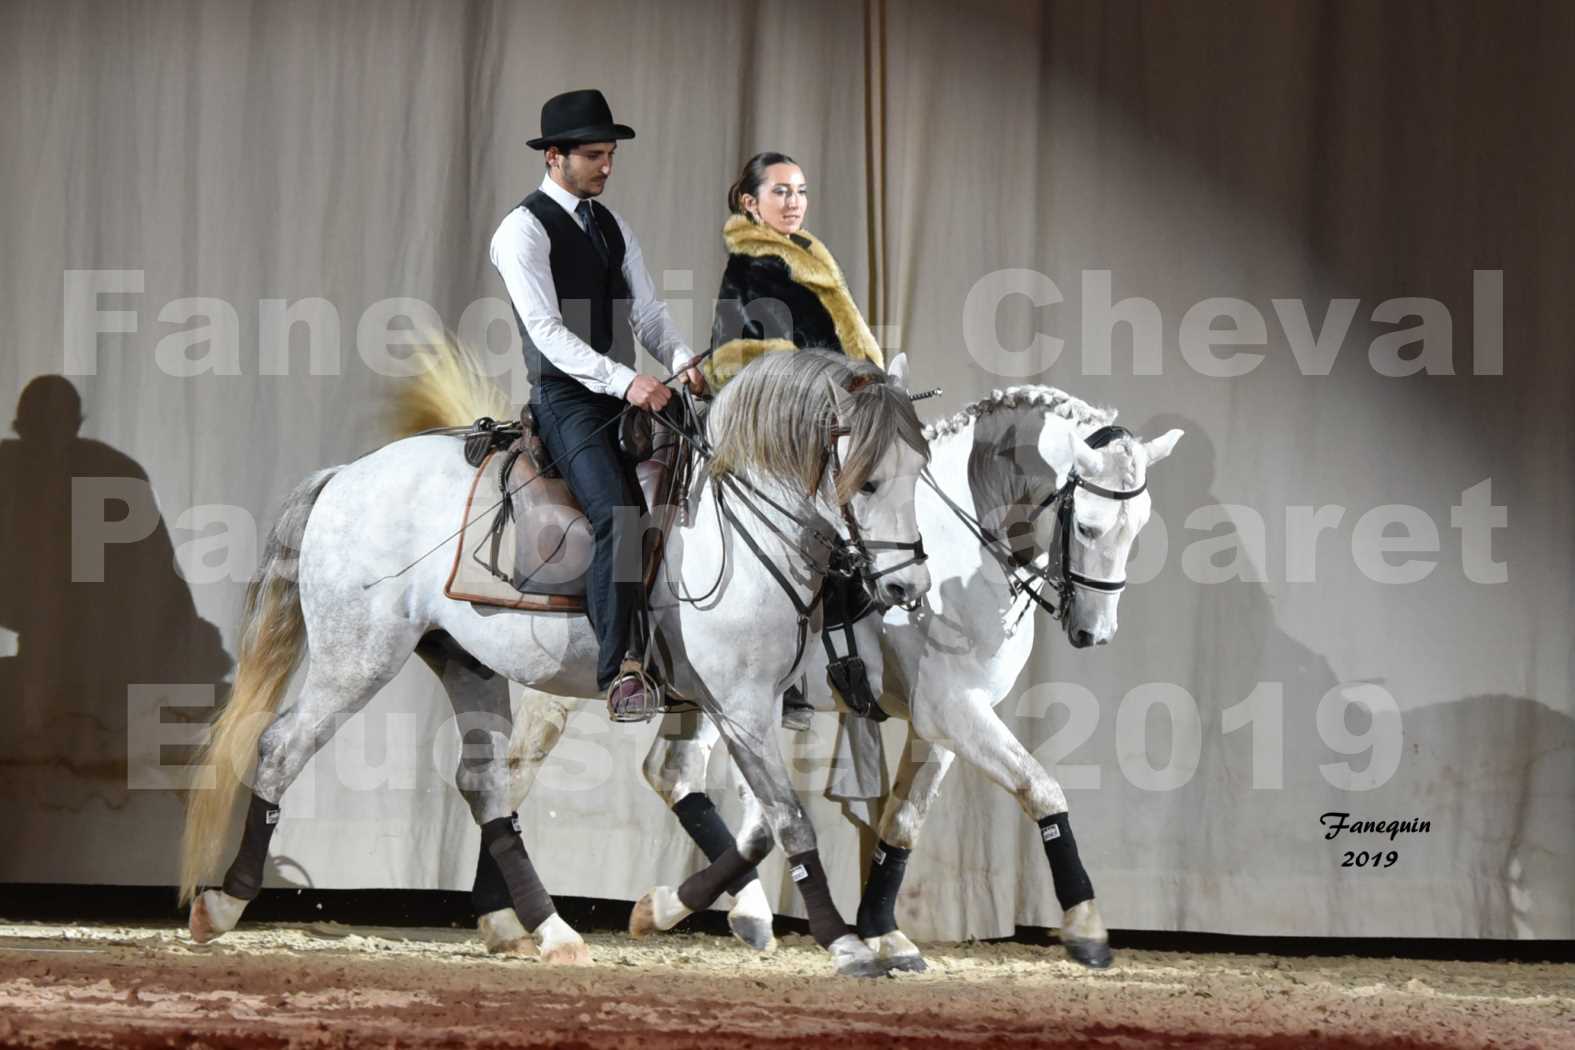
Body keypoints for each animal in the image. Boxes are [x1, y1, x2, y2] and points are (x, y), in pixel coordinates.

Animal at [178, 346, 926, 976]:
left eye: (919, 471)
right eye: (866, 482)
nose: (905, 589)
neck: (740, 529)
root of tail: (344, 477)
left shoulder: (738, 706)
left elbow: (760, 825)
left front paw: (665, 909)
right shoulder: (741, 708)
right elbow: (788, 820)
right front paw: (847, 943)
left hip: (463, 660)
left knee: (483, 783)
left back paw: (546, 929)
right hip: (356, 660)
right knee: (281, 749)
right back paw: (221, 904)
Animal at [478, 385, 1184, 969]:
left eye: (1140, 527)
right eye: (1088, 525)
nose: (1094, 632)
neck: (959, 553)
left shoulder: (945, 720)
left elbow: (901, 821)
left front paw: (882, 931)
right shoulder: (953, 711)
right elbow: (1042, 789)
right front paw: (1086, 925)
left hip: (703, 697)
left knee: (669, 775)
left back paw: (704, 911)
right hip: (582, 687)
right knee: (515, 774)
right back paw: (515, 920)